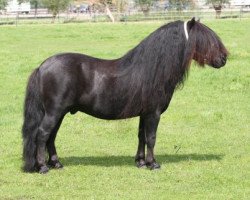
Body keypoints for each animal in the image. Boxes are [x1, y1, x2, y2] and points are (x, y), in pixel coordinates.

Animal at [22, 18, 228, 173]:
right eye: (206, 40)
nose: (224, 59)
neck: (153, 69)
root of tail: (42, 67)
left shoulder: (144, 114)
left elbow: (141, 136)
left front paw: (141, 162)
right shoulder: (153, 113)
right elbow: (151, 137)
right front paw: (153, 164)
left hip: (60, 113)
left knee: (51, 136)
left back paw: (56, 163)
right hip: (54, 112)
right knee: (42, 134)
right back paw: (42, 167)